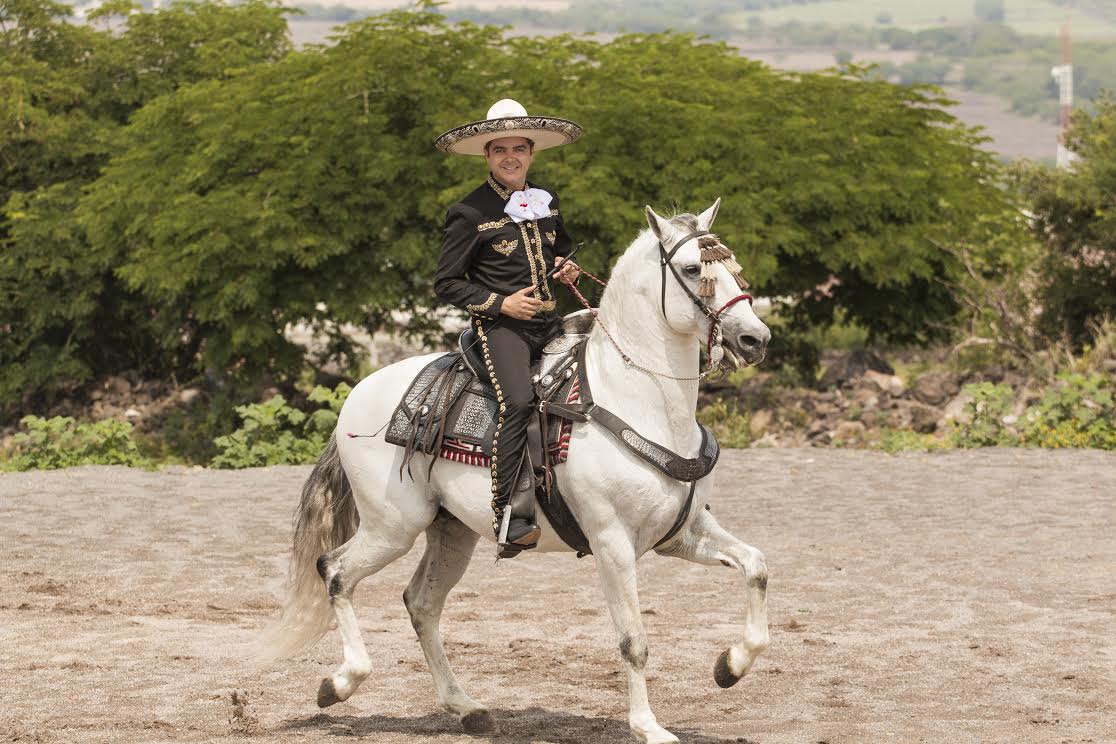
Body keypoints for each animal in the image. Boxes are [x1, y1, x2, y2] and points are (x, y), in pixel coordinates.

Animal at [263, 199, 772, 744]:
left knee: (421, 603)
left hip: (452, 533)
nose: (755, 338)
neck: (633, 399)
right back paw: (339, 683)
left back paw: (466, 708)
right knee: (335, 571)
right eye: (694, 270)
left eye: (734, 268)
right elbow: (633, 640)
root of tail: (356, 396)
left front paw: (731, 666)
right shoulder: (612, 543)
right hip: (391, 528)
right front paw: (648, 727)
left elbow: (756, 566)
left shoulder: (682, 533)